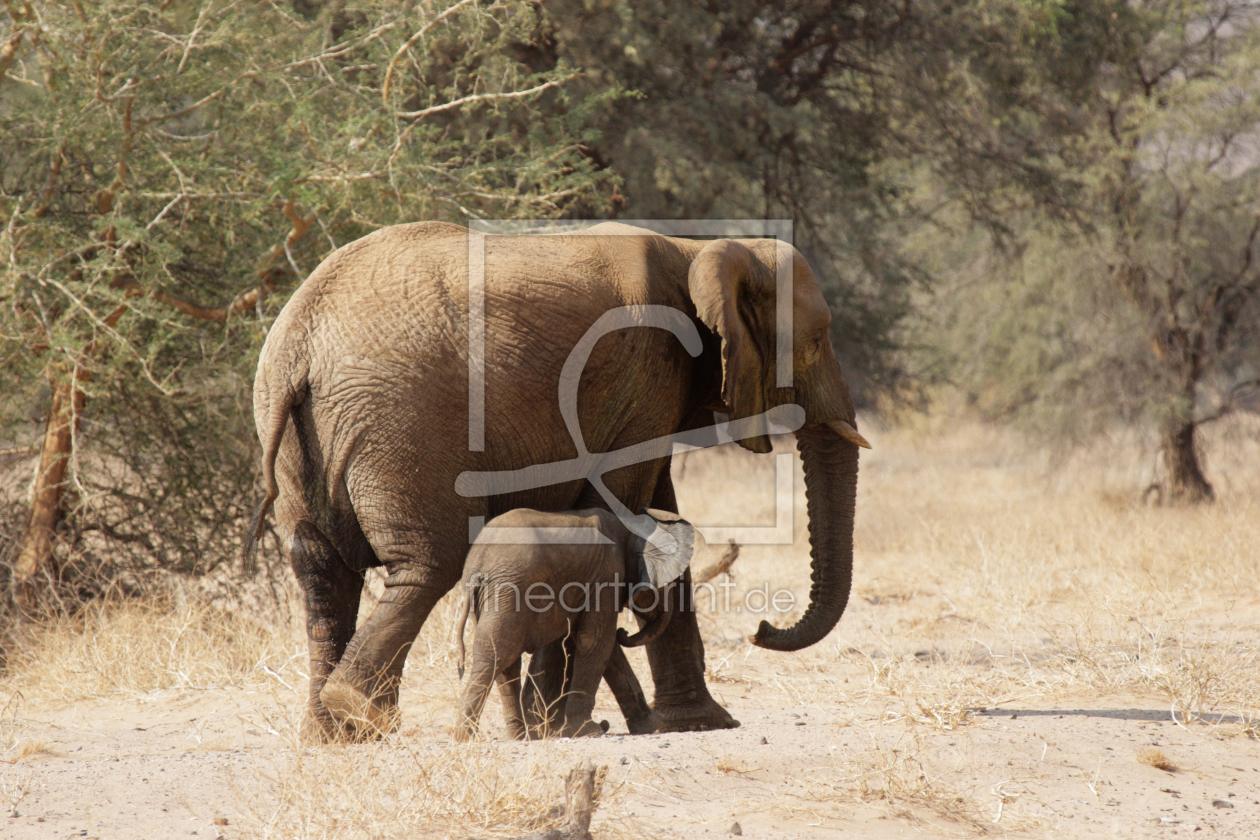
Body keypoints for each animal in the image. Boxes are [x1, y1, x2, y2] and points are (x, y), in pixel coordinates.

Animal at [453, 506, 695, 740]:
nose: (624, 631)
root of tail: (477, 563)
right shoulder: (607, 574)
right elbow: (596, 641)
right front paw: (589, 730)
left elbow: (604, 647)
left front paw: (650, 724)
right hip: (509, 589)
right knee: (498, 652)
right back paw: (465, 736)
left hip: (492, 595)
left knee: (503, 658)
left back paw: (517, 736)